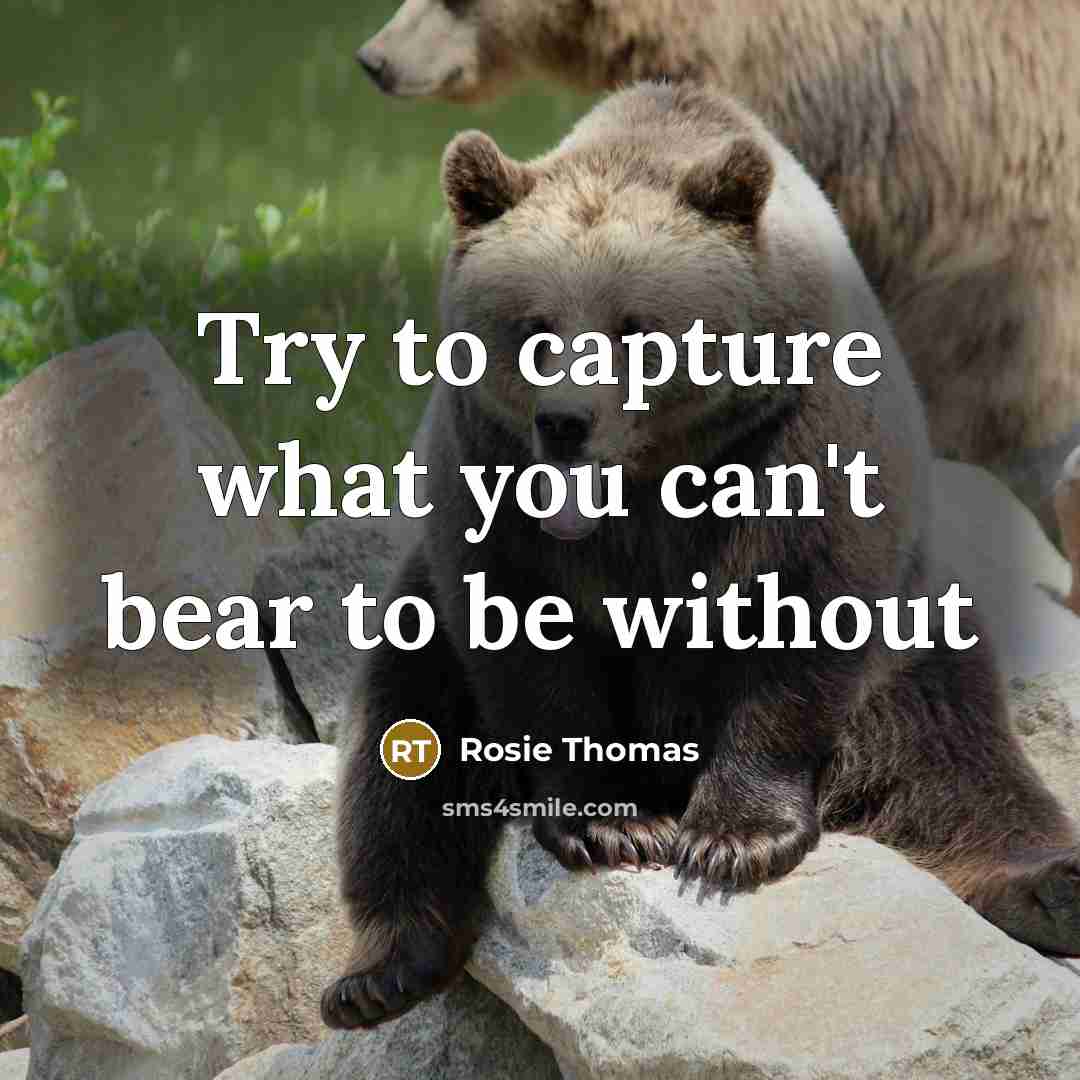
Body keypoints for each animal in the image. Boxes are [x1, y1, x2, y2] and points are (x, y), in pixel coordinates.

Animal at [321, 84, 1080, 1031]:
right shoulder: (489, 473)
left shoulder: (794, 448)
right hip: (421, 635)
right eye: (535, 328)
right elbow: (526, 646)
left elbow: (802, 623)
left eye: (634, 329)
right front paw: (614, 824)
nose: (565, 423)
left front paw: (733, 840)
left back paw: (1053, 886)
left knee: (956, 759)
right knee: (399, 751)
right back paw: (382, 969)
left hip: (916, 647)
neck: (651, 481)